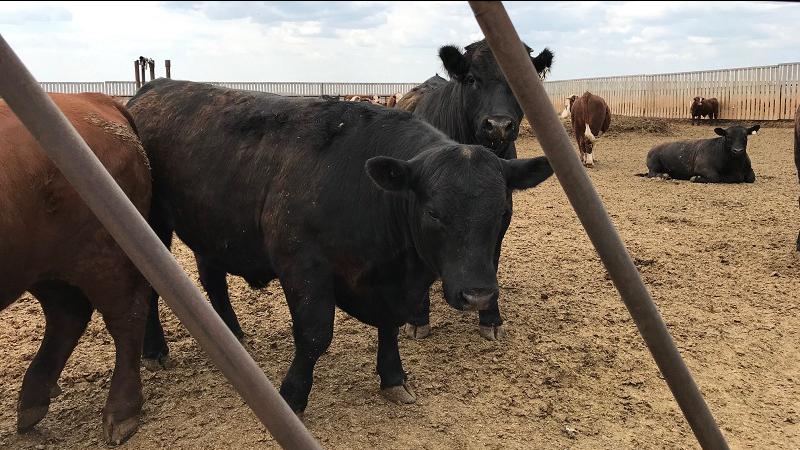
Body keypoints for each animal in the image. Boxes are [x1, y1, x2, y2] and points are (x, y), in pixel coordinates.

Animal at [0, 93, 151, 445]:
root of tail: (94, 99)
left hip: (104, 256)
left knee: (125, 316)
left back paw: (121, 412)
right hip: (41, 265)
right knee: (67, 313)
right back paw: (33, 402)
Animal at [127, 79, 553, 413]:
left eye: (502, 212)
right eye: (433, 213)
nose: (479, 295)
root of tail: (155, 88)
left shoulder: (389, 284)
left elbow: (389, 325)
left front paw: (393, 377)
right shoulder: (303, 265)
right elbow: (315, 334)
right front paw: (293, 396)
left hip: (210, 225)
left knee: (212, 278)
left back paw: (232, 336)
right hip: (151, 221)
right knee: (148, 286)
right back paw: (155, 351)